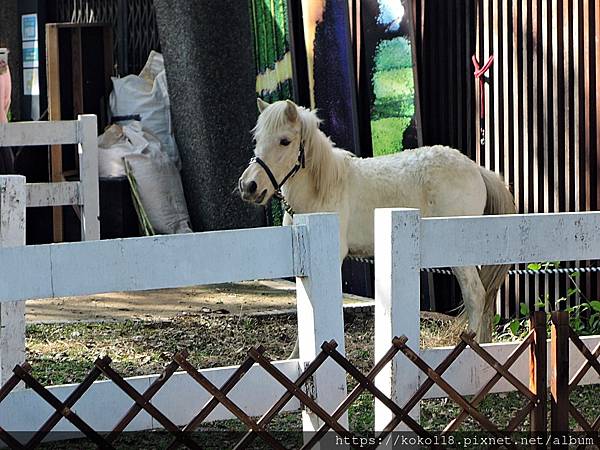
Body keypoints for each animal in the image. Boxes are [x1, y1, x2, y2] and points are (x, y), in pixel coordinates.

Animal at [239, 100, 516, 342]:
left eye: (285, 141)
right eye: (257, 139)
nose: (249, 186)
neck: (324, 187)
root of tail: (477, 169)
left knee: (476, 296)